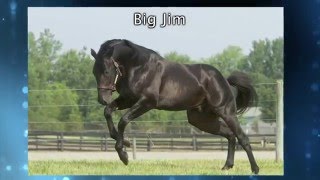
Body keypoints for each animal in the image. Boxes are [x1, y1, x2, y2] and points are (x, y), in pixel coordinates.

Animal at [90, 38, 260, 174]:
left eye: (106, 71)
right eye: (93, 72)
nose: (102, 99)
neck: (138, 66)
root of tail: (223, 79)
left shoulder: (147, 102)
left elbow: (123, 120)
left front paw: (123, 154)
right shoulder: (129, 99)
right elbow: (108, 112)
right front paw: (124, 142)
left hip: (226, 112)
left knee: (242, 137)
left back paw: (255, 169)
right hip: (200, 119)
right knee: (230, 135)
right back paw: (227, 166)